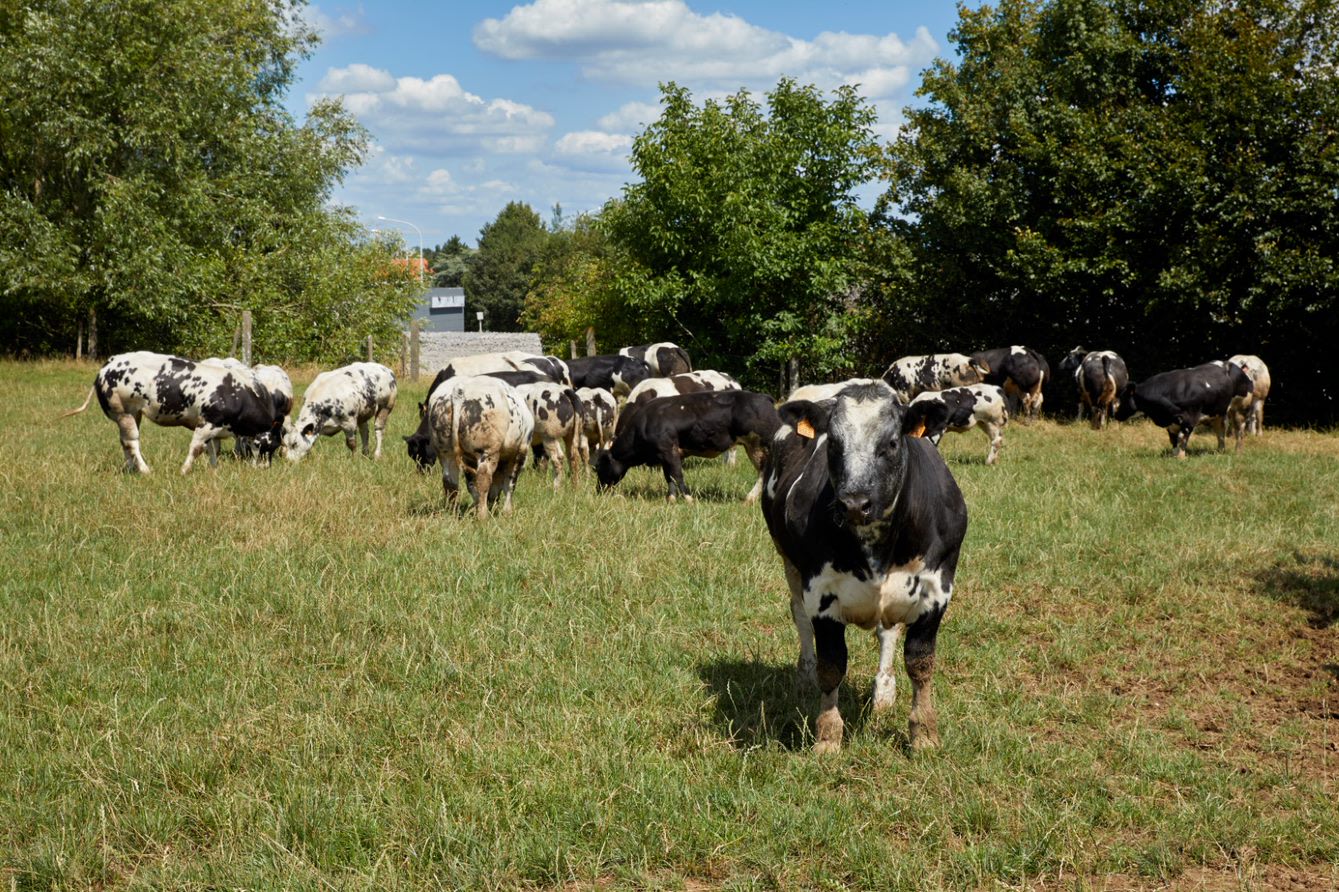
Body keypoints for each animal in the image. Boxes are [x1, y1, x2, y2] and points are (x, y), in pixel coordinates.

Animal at [63, 348, 283, 471]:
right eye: (265, 445)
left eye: (275, 447)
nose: (265, 468)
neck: (234, 394)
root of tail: (110, 363)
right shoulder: (207, 423)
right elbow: (196, 448)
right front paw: (184, 470)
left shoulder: (213, 426)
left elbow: (211, 449)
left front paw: (214, 470)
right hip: (123, 412)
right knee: (131, 442)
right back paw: (144, 470)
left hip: (134, 414)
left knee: (124, 443)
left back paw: (131, 468)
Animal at [428, 372, 532, 514]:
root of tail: (458, 390)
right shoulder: (521, 451)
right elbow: (510, 483)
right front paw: (507, 512)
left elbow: (473, 485)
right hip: (487, 451)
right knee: (483, 479)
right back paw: (483, 515)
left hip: (445, 451)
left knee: (450, 482)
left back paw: (452, 512)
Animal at [594, 388, 781, 500]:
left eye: (598, 467)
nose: (598, 490)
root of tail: (763, 397)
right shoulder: (664, 456)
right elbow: (669, 477)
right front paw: (671, 498)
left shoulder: (669, 450)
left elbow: (677, 474)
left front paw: (688, 498)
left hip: (758, 446)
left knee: (763, 471)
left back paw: (750, 498)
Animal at [765, 380, 964, 750]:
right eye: (833, 443)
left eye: (892, 443)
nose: (854, 503)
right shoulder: (820, 593)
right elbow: (831, 665)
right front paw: (828, 736)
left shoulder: (936, 590)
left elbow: (920, 662)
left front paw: (924, 733)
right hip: (789, 562)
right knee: (798, 615)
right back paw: (805, 675)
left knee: (888, 631)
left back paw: (883, 691)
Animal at [1108, 358, 1253, 455]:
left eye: (1123, 397)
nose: (1114, 414)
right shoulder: (1171, 423)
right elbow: (1173, 440)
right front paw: (1174, 456)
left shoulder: (1189, 419)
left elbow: (1182, 438)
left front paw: (1181, 457)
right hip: (1218, 413)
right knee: (1221, 432)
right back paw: (1220, 451)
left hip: (1240, 409)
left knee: (1240, 431)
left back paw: (1238, 452)